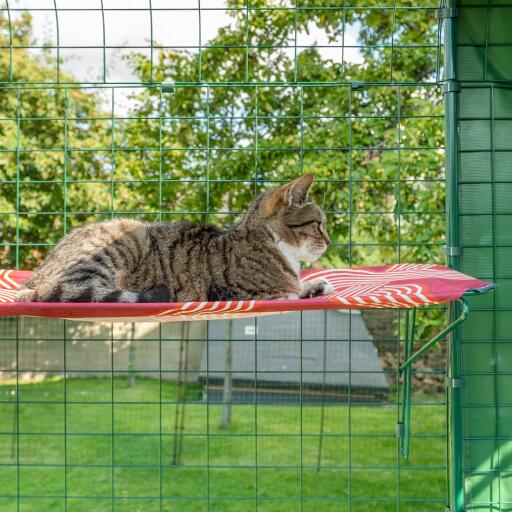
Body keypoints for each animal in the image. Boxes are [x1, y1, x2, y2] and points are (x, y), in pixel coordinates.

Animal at [16, 175, 332, 304]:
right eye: (319, 224)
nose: (329, 241)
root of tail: (32, 280)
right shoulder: (250, 293)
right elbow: (288, 291)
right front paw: (304, 288)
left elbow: (301, 286)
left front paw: (315, 286)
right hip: (124, 242)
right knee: (82, 290)